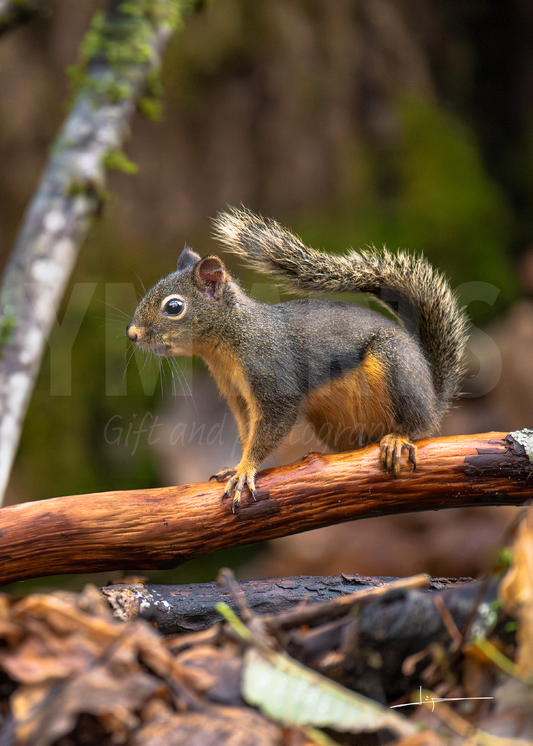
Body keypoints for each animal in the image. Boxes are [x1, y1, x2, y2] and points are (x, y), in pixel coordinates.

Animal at [126, 206, 468, 512]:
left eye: (174, 307)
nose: (132, 334)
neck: (230, 337)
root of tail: (432, 395)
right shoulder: (239, 396)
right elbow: (248, 431)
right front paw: (236, 466)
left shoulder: (273, 377)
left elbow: (269, 428)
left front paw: (245, 470)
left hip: (396, 367)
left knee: (417, 423)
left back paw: (398, 438)